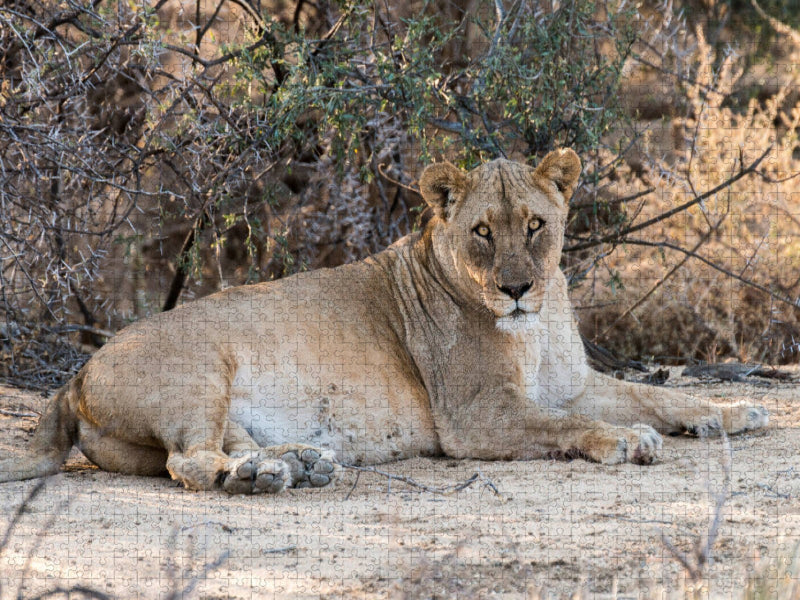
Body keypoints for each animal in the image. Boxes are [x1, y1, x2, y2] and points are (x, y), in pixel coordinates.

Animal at [0, 149, 768, 493]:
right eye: (482, 232)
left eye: (535, 225)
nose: (517, 288)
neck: (539, 323)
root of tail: (74, 375)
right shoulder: (475, 417)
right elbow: (568, 425)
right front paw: (627, 440)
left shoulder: (572, 382)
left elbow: (659, 395)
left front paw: (732, 412)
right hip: (200, 367)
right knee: (188, 462)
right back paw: (261, 478)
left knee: (215, 448)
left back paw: (297, 463)